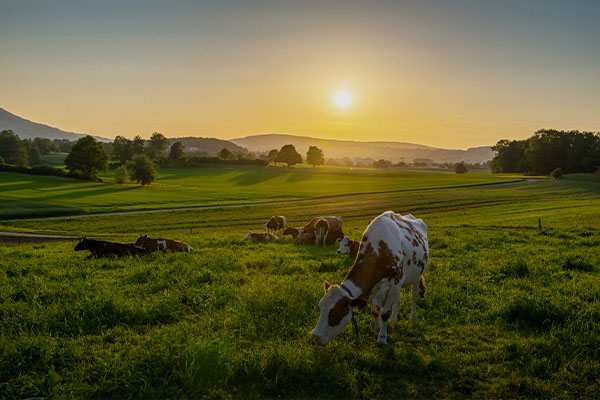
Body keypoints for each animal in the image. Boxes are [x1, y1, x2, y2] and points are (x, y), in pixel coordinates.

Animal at [312, 211, 428, 346]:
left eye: (335, 312)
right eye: (320, 307)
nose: (315, 337)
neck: (381, 248)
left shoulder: (394, 282)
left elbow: (385, 313)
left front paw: (382, 338)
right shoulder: (372, 287)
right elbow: (375, 311)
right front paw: (377, 330)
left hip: (417, 276)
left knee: (413, 297)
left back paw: (413, 318)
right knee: (397, 301)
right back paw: (394, 320)